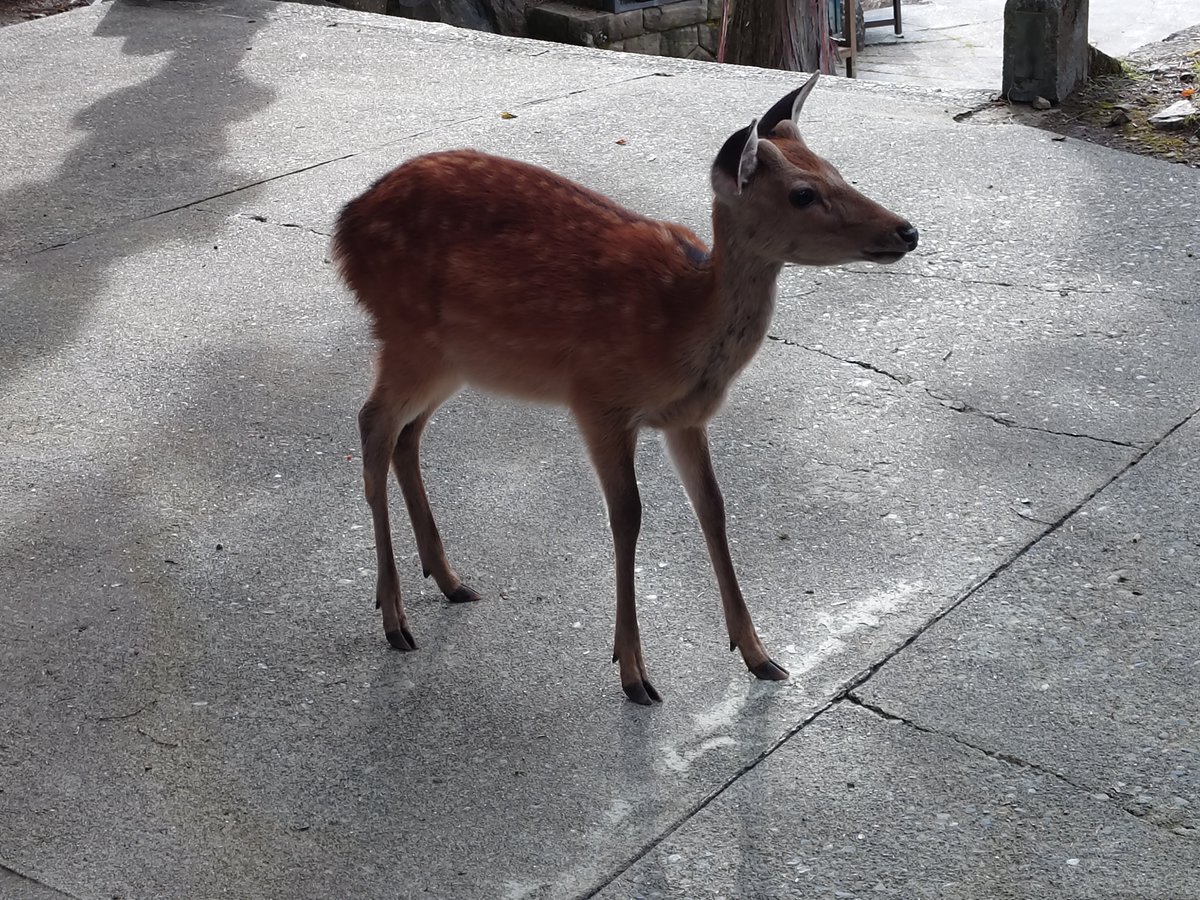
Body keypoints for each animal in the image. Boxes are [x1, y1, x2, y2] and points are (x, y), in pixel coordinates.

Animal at [332, 73, 918, 705]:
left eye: (836, 169)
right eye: (803, 194)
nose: (906, 229)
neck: (679, 318)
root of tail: (346, 226)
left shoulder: (686, 417)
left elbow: (713, 508)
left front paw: (760, 656)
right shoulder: (598, 400)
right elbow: (628, 516)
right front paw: (634, 672)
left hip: (455, 361)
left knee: (406, 434)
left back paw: (449, 580)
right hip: (407, 334)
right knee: (372, 423)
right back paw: (394, 618)